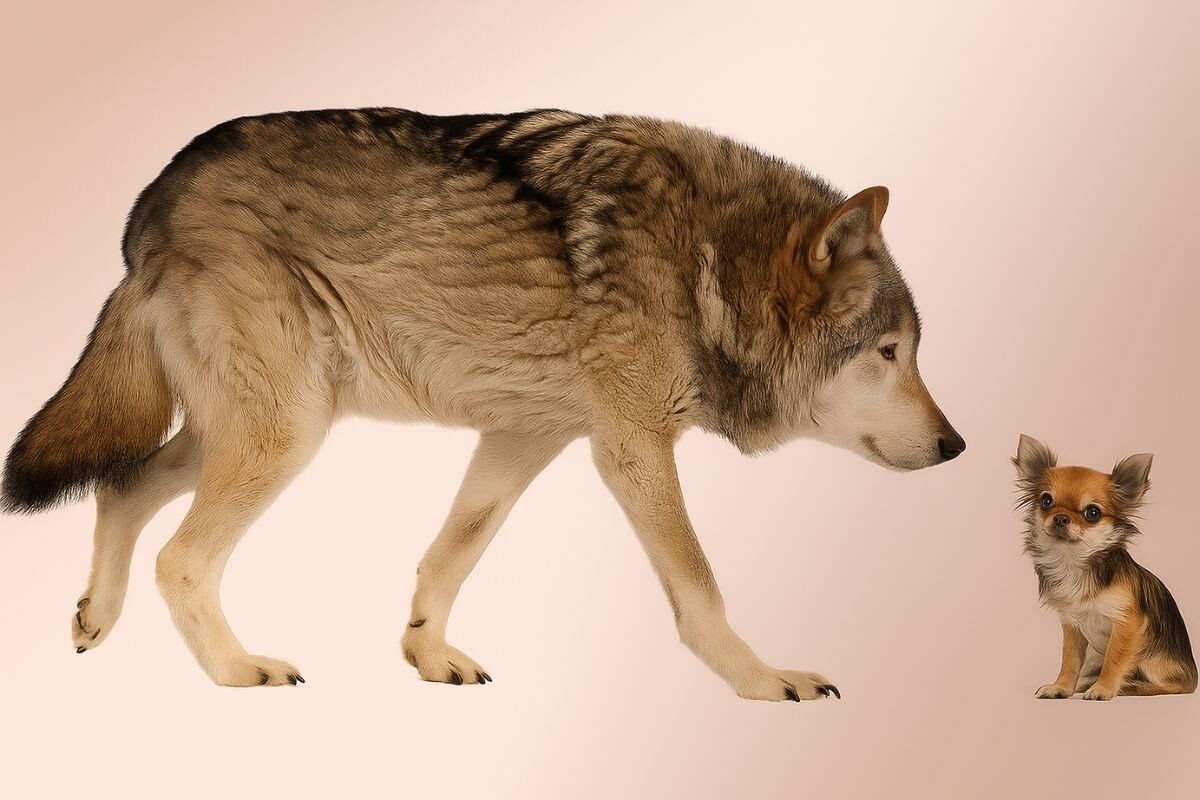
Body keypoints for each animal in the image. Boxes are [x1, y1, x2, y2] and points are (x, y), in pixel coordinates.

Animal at [2, 109, 964, 699]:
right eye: (889, 353)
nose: (957, 445)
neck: (705, 264)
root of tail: (148, 205)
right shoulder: (632, 448)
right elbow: (701, 588)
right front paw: (765, 682)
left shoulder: (524, 437)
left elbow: (450, 554)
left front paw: (426, 656)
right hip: (283, 434)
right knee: (180, 557)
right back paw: (239, 671)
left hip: (236, 431)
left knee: (121, 486)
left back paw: (95, 618)